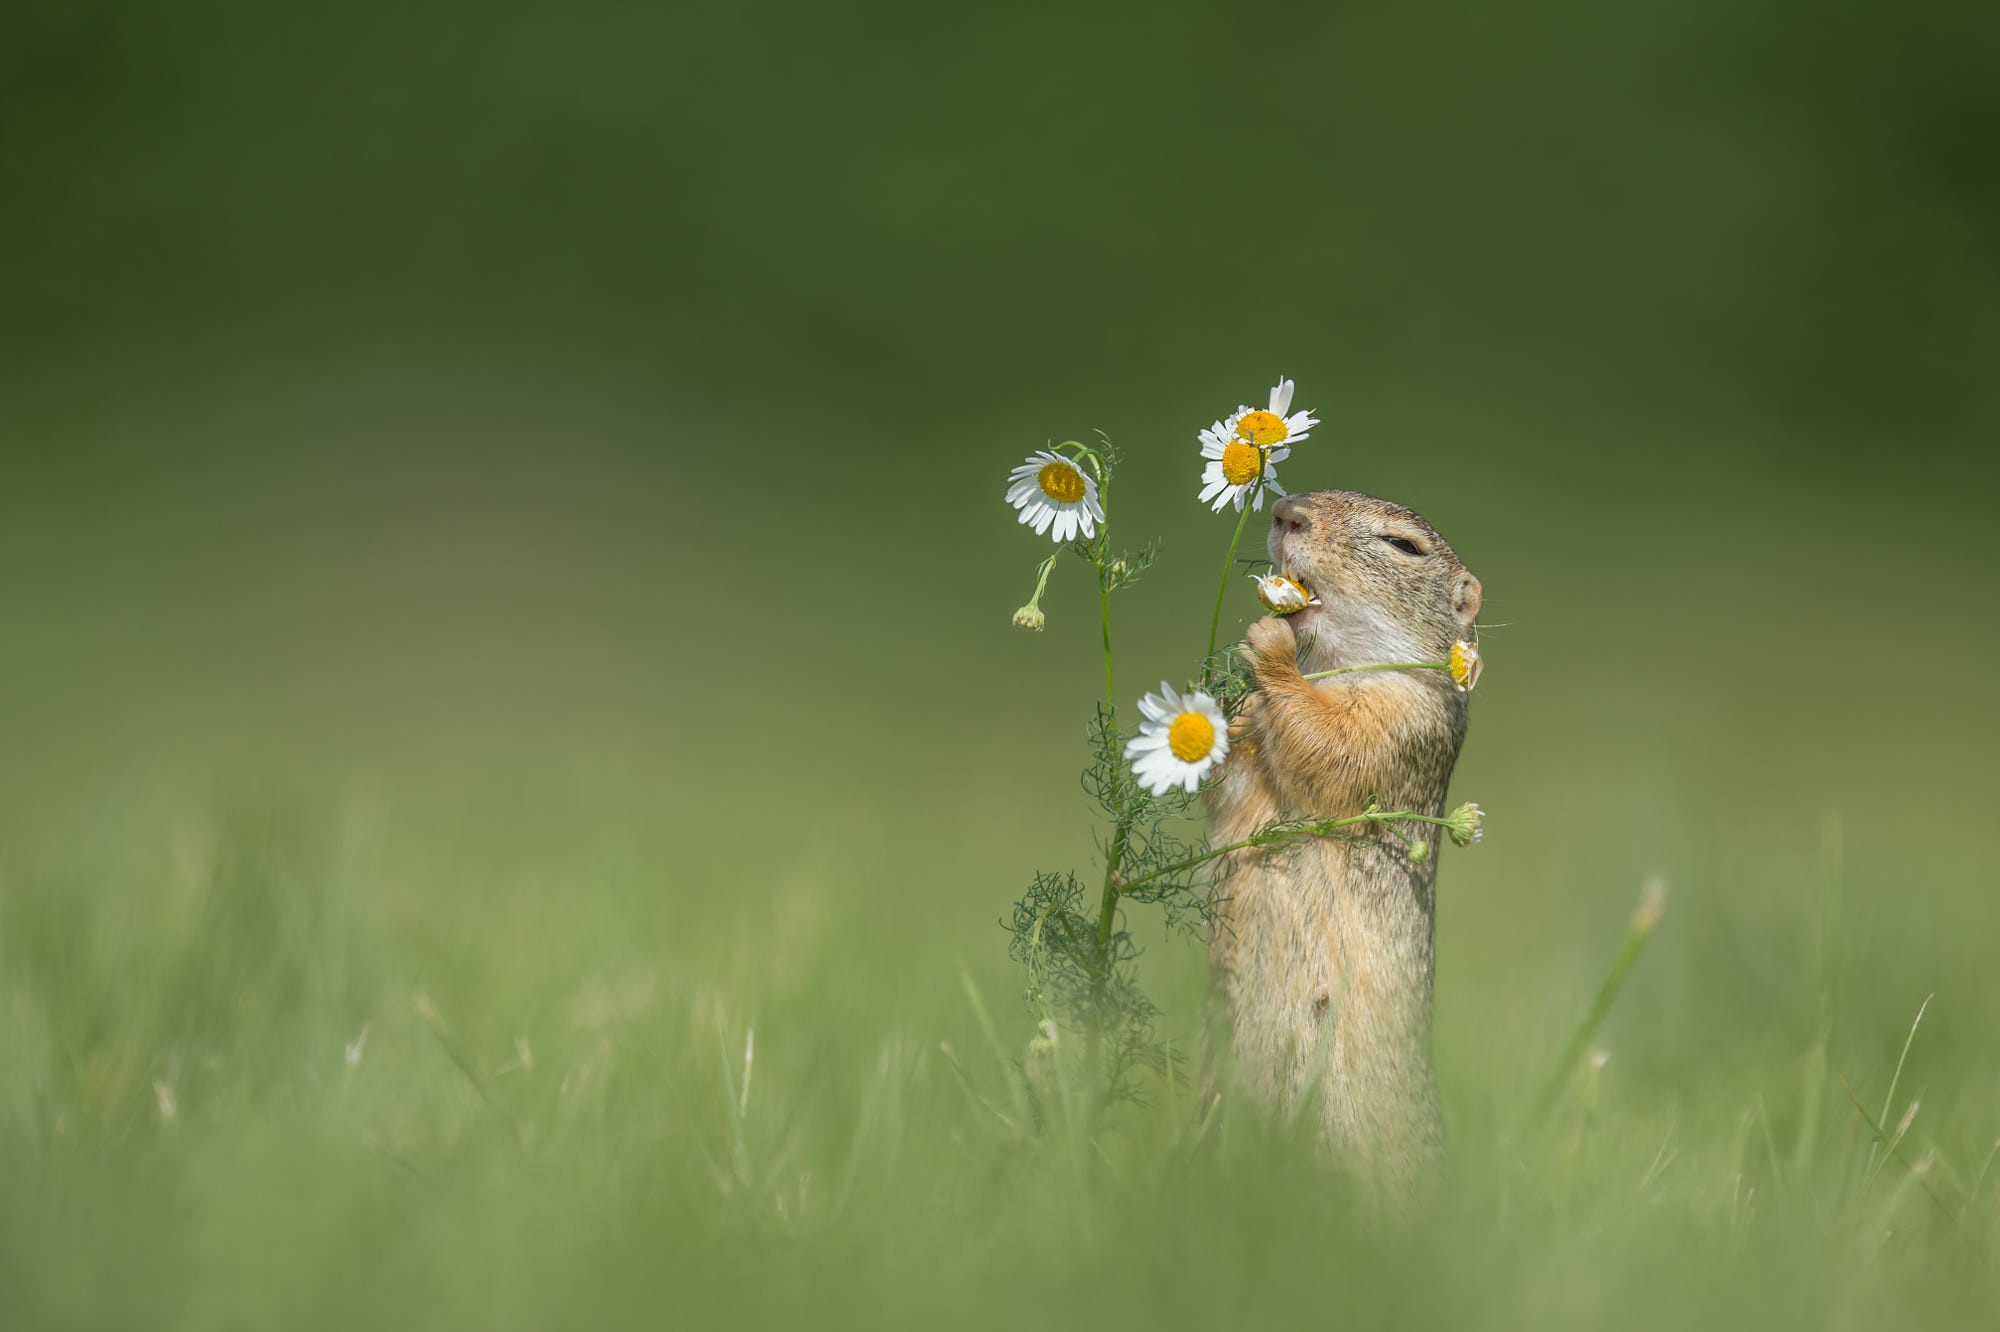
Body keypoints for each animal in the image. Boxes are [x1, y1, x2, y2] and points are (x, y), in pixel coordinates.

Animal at [1200, 490, 1488, 1200]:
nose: (1285, 511)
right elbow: (1231, 779)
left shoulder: (1404, 722)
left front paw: (1269, 643)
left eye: (1404, 546)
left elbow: (1329, 743)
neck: (1330, 668)